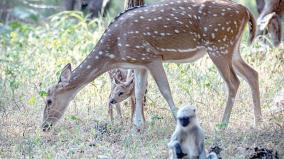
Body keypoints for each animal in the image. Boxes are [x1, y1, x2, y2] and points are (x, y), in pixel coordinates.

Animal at [41, 0, 262, 132]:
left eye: (49, 100)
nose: (44, 126)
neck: (115, 52)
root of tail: (245, 10)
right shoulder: (139, 62)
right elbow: (139, 92)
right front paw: (137, 127)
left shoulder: (151, 56)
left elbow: (165, 90)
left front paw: (178, 123)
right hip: (232, 49)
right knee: (252, 73)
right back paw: (258, 121)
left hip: (219, 45)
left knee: (233, 82)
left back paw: (222, 125)